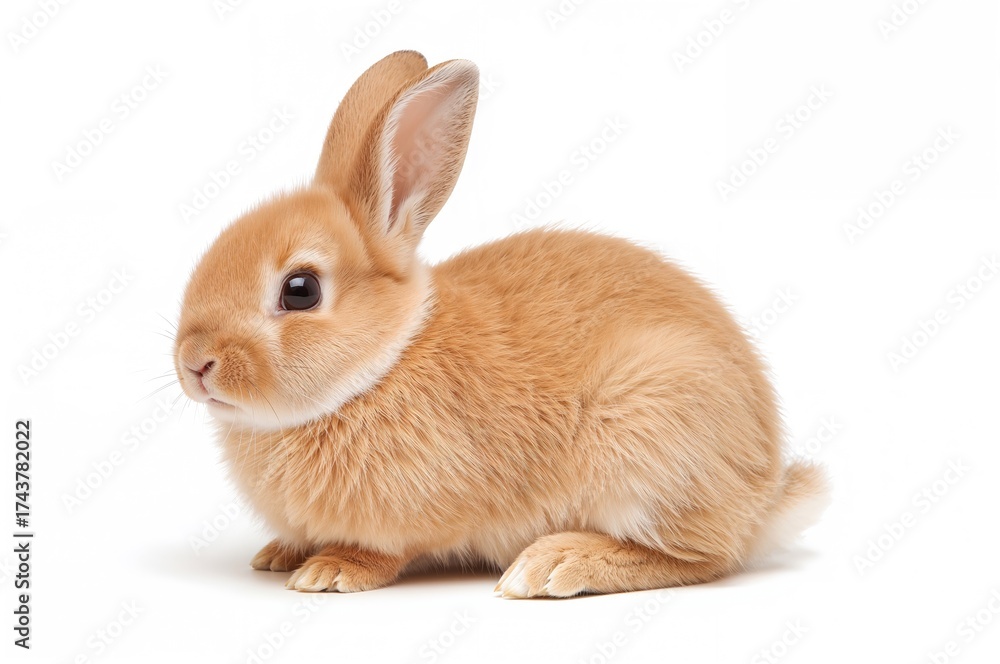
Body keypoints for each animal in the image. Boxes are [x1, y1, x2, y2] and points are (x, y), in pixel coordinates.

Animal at [173, 50, 829, 598]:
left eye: (301, 290)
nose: (194, 364)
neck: (385, 359)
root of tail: (763, 498)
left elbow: (389, 552)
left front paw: (331, 571)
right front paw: (279, 554)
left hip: (651, 433)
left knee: (704, 556)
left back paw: (553, 565)